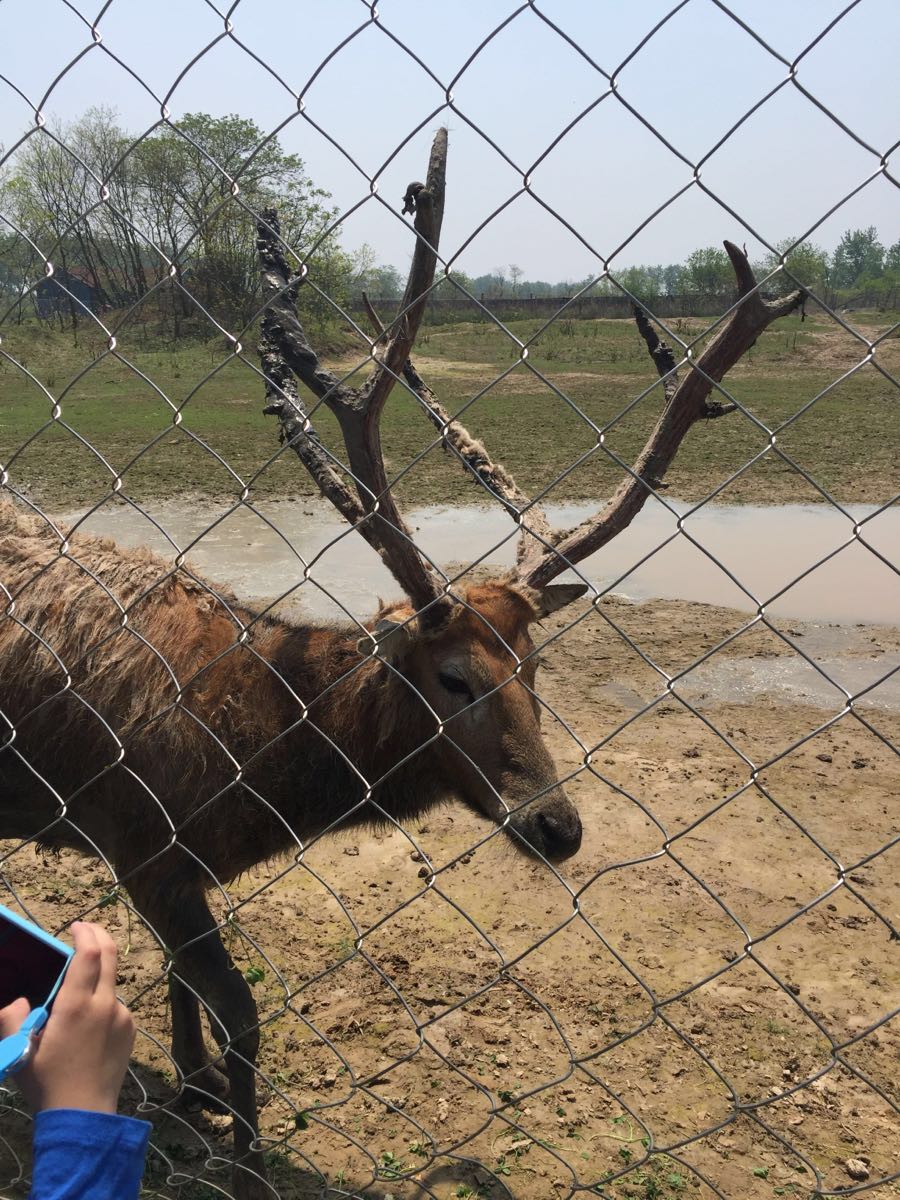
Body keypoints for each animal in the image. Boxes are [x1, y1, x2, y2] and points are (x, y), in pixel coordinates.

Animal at [0, 126, 801, 1195]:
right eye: (452, 677)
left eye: (537, 673)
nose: (558, 827)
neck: (244, 766)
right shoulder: (141, 841)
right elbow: (243, 1009)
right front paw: (244, 1146)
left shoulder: (176, 864)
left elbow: (183, 986)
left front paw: (196, 1089)